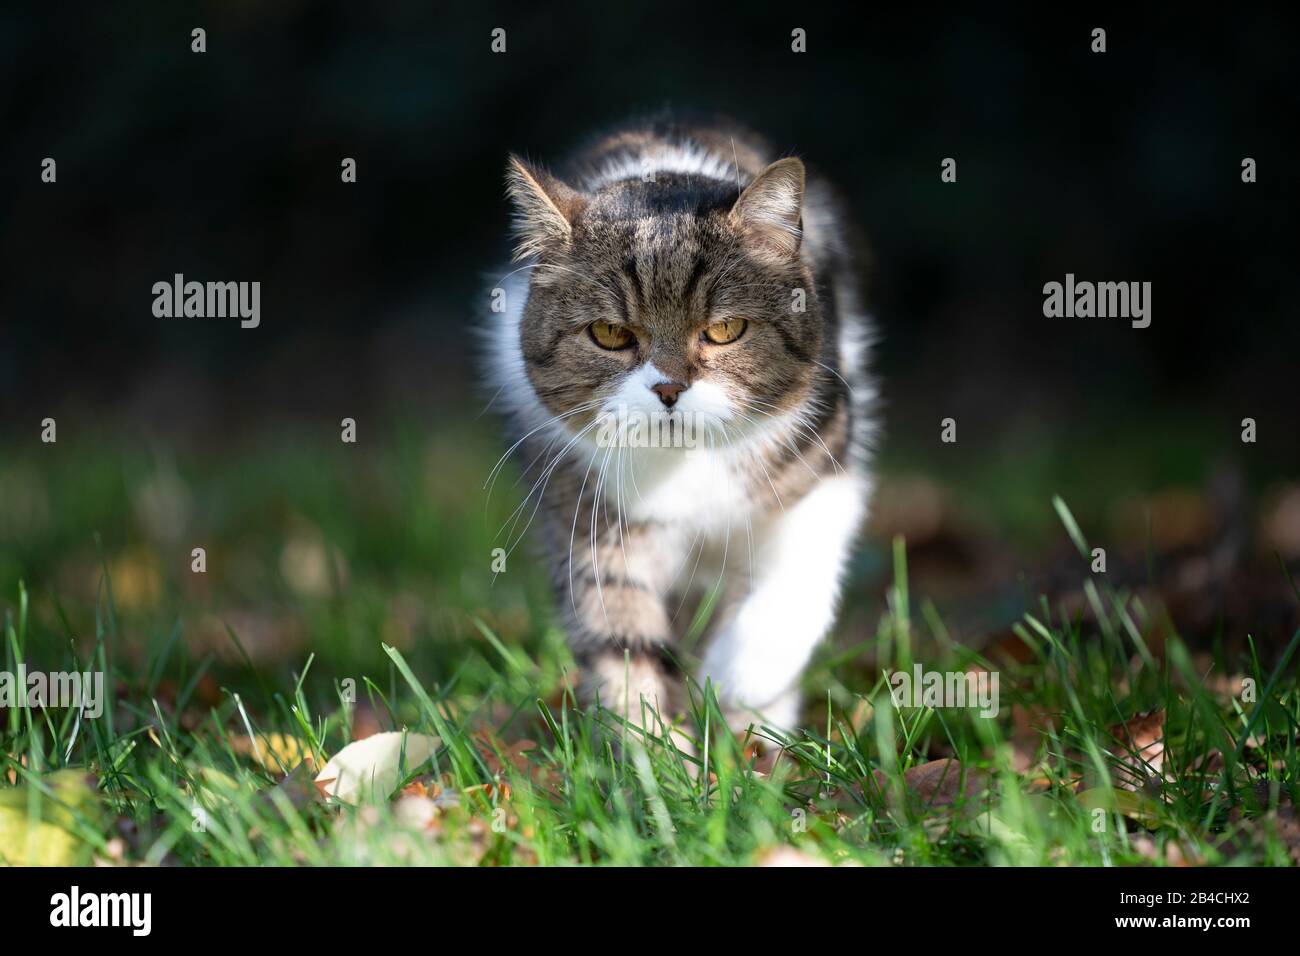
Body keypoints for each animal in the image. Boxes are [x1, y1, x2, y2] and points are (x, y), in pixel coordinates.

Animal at [486, 115, 873, 738]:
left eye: (725, 329)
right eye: (610, 334)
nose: (668, 389)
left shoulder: (824, 461)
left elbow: (795, 578)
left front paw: (741, 678)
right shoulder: (586, 514)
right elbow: (621, 641)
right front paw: (653, 751)